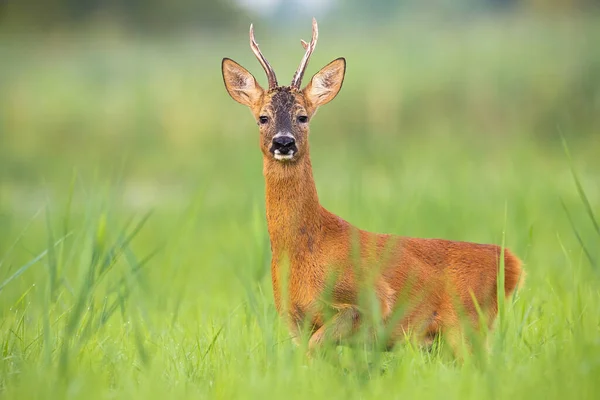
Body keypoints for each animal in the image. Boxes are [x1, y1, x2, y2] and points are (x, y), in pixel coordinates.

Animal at [221, 18, 524, 356]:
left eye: (303, 116)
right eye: (263, 117)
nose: (284, 142)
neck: (303, 250)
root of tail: (512, 265)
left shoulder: (372, 300)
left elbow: (319, 346)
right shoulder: (293, 318)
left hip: (467, 327)